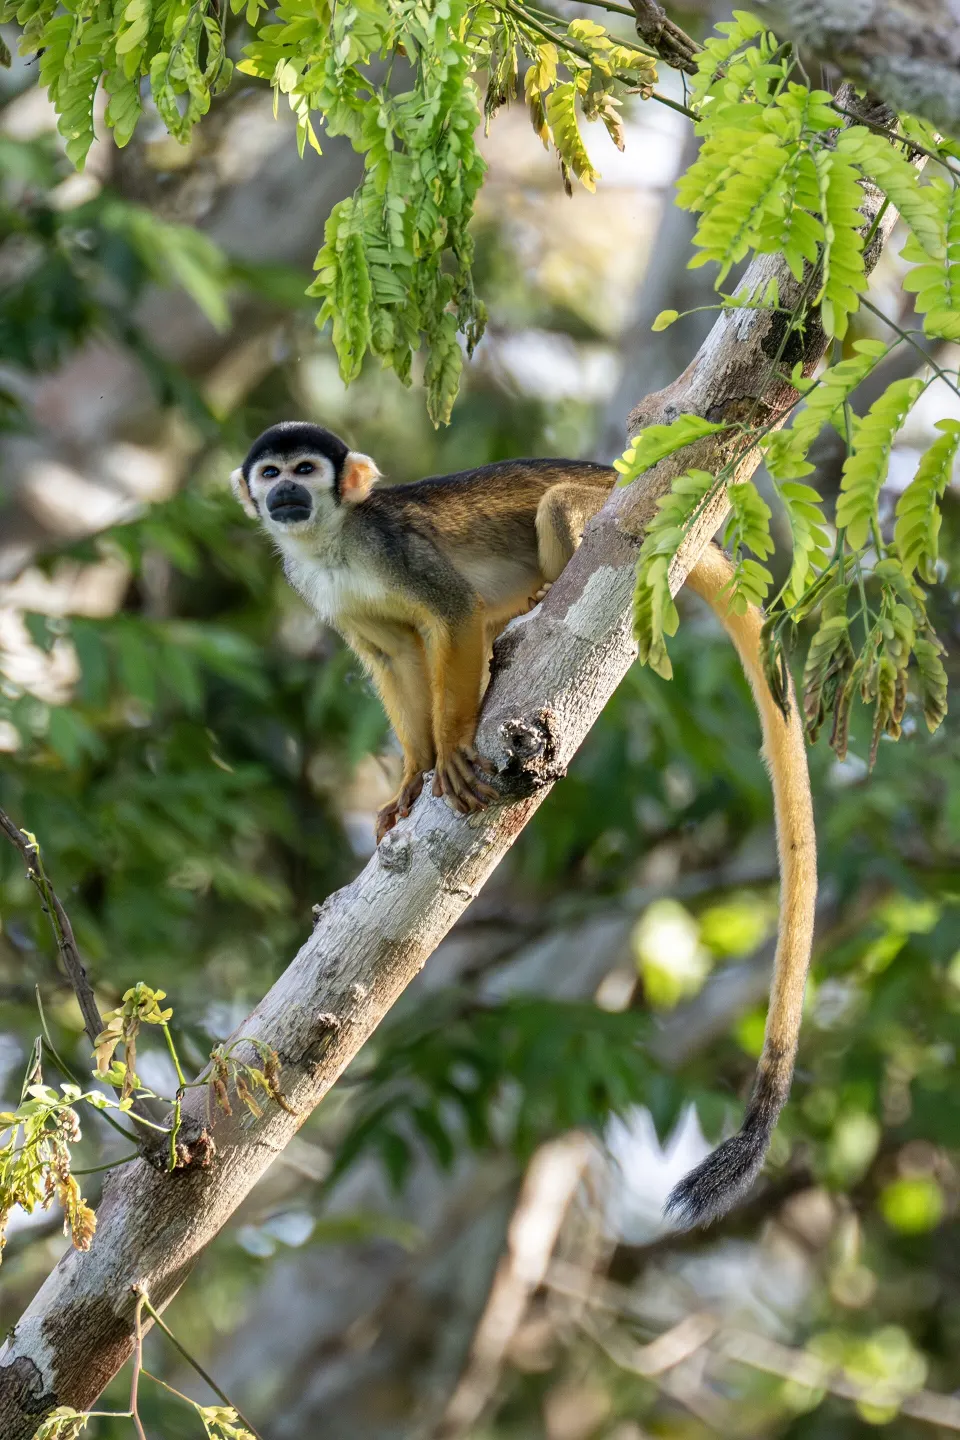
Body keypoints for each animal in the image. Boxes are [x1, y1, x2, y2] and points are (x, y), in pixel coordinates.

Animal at [231, 421, 816, 1229]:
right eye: (272, 474)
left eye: (307, 470)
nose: (286, 492)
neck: (333, 543)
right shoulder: (317, 588)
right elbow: (394, 652)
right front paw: (412, 776)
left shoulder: (391, 547)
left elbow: (448, 616)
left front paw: (450, 749)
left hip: (644, 511)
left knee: (564, 512)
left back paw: (541, 595)